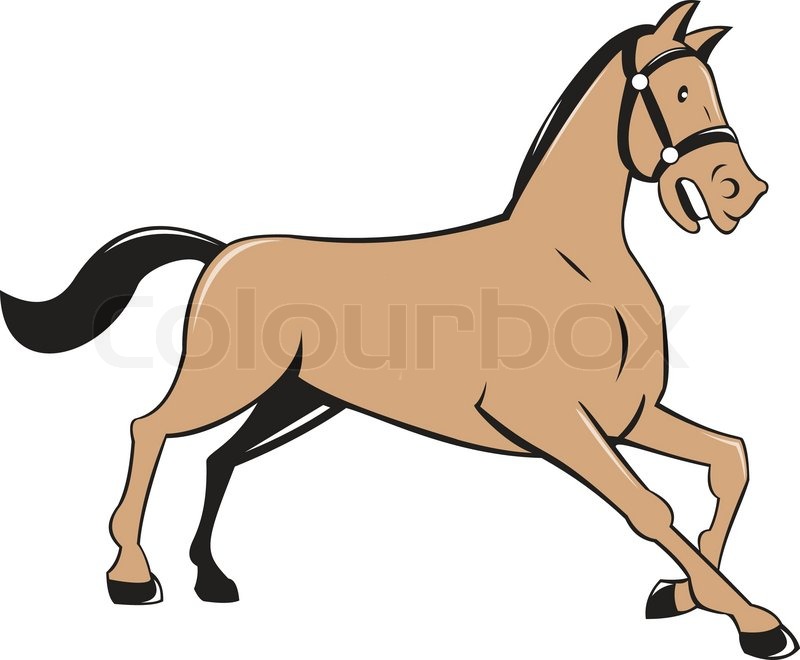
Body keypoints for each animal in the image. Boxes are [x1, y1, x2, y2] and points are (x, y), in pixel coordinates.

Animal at [1, 2, 793, 657]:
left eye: (711, 89)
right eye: (680, 91)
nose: (742, 191)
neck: (575, 265)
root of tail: (222, 251)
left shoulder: (625, 417)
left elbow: (731, 459)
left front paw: (682, 596)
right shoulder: (554, 423)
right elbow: (652, 508)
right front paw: (757, 625)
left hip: (296, 398)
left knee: (218, 458)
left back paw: (212, 579)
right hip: (228, 381)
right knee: (151, 430)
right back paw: (131, 577)